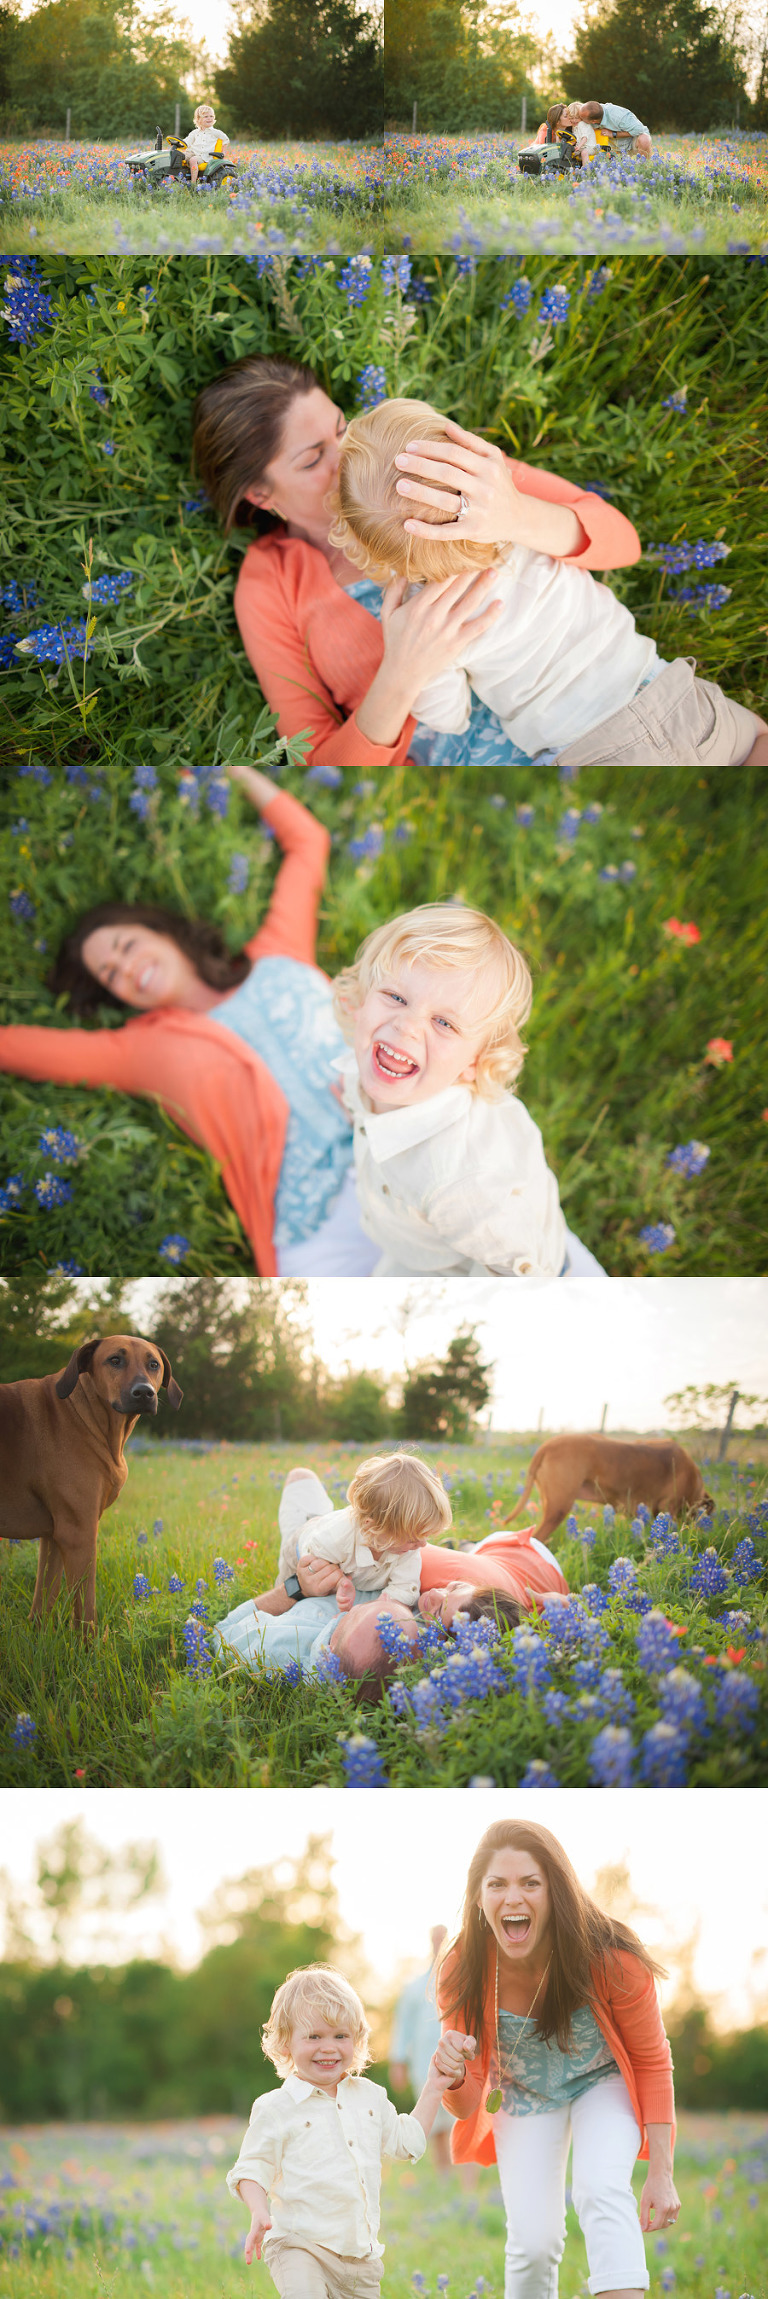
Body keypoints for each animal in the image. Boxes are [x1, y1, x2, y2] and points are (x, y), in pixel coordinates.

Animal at [0, 1333, 182, 1636]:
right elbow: (85, 1607)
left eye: (154, 1364)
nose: (144, 1392)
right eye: (114, 1360)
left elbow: (44, 1597)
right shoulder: (78, 1531)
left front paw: (39, 1638)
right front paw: (90, 1645)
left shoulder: (53, 1534)